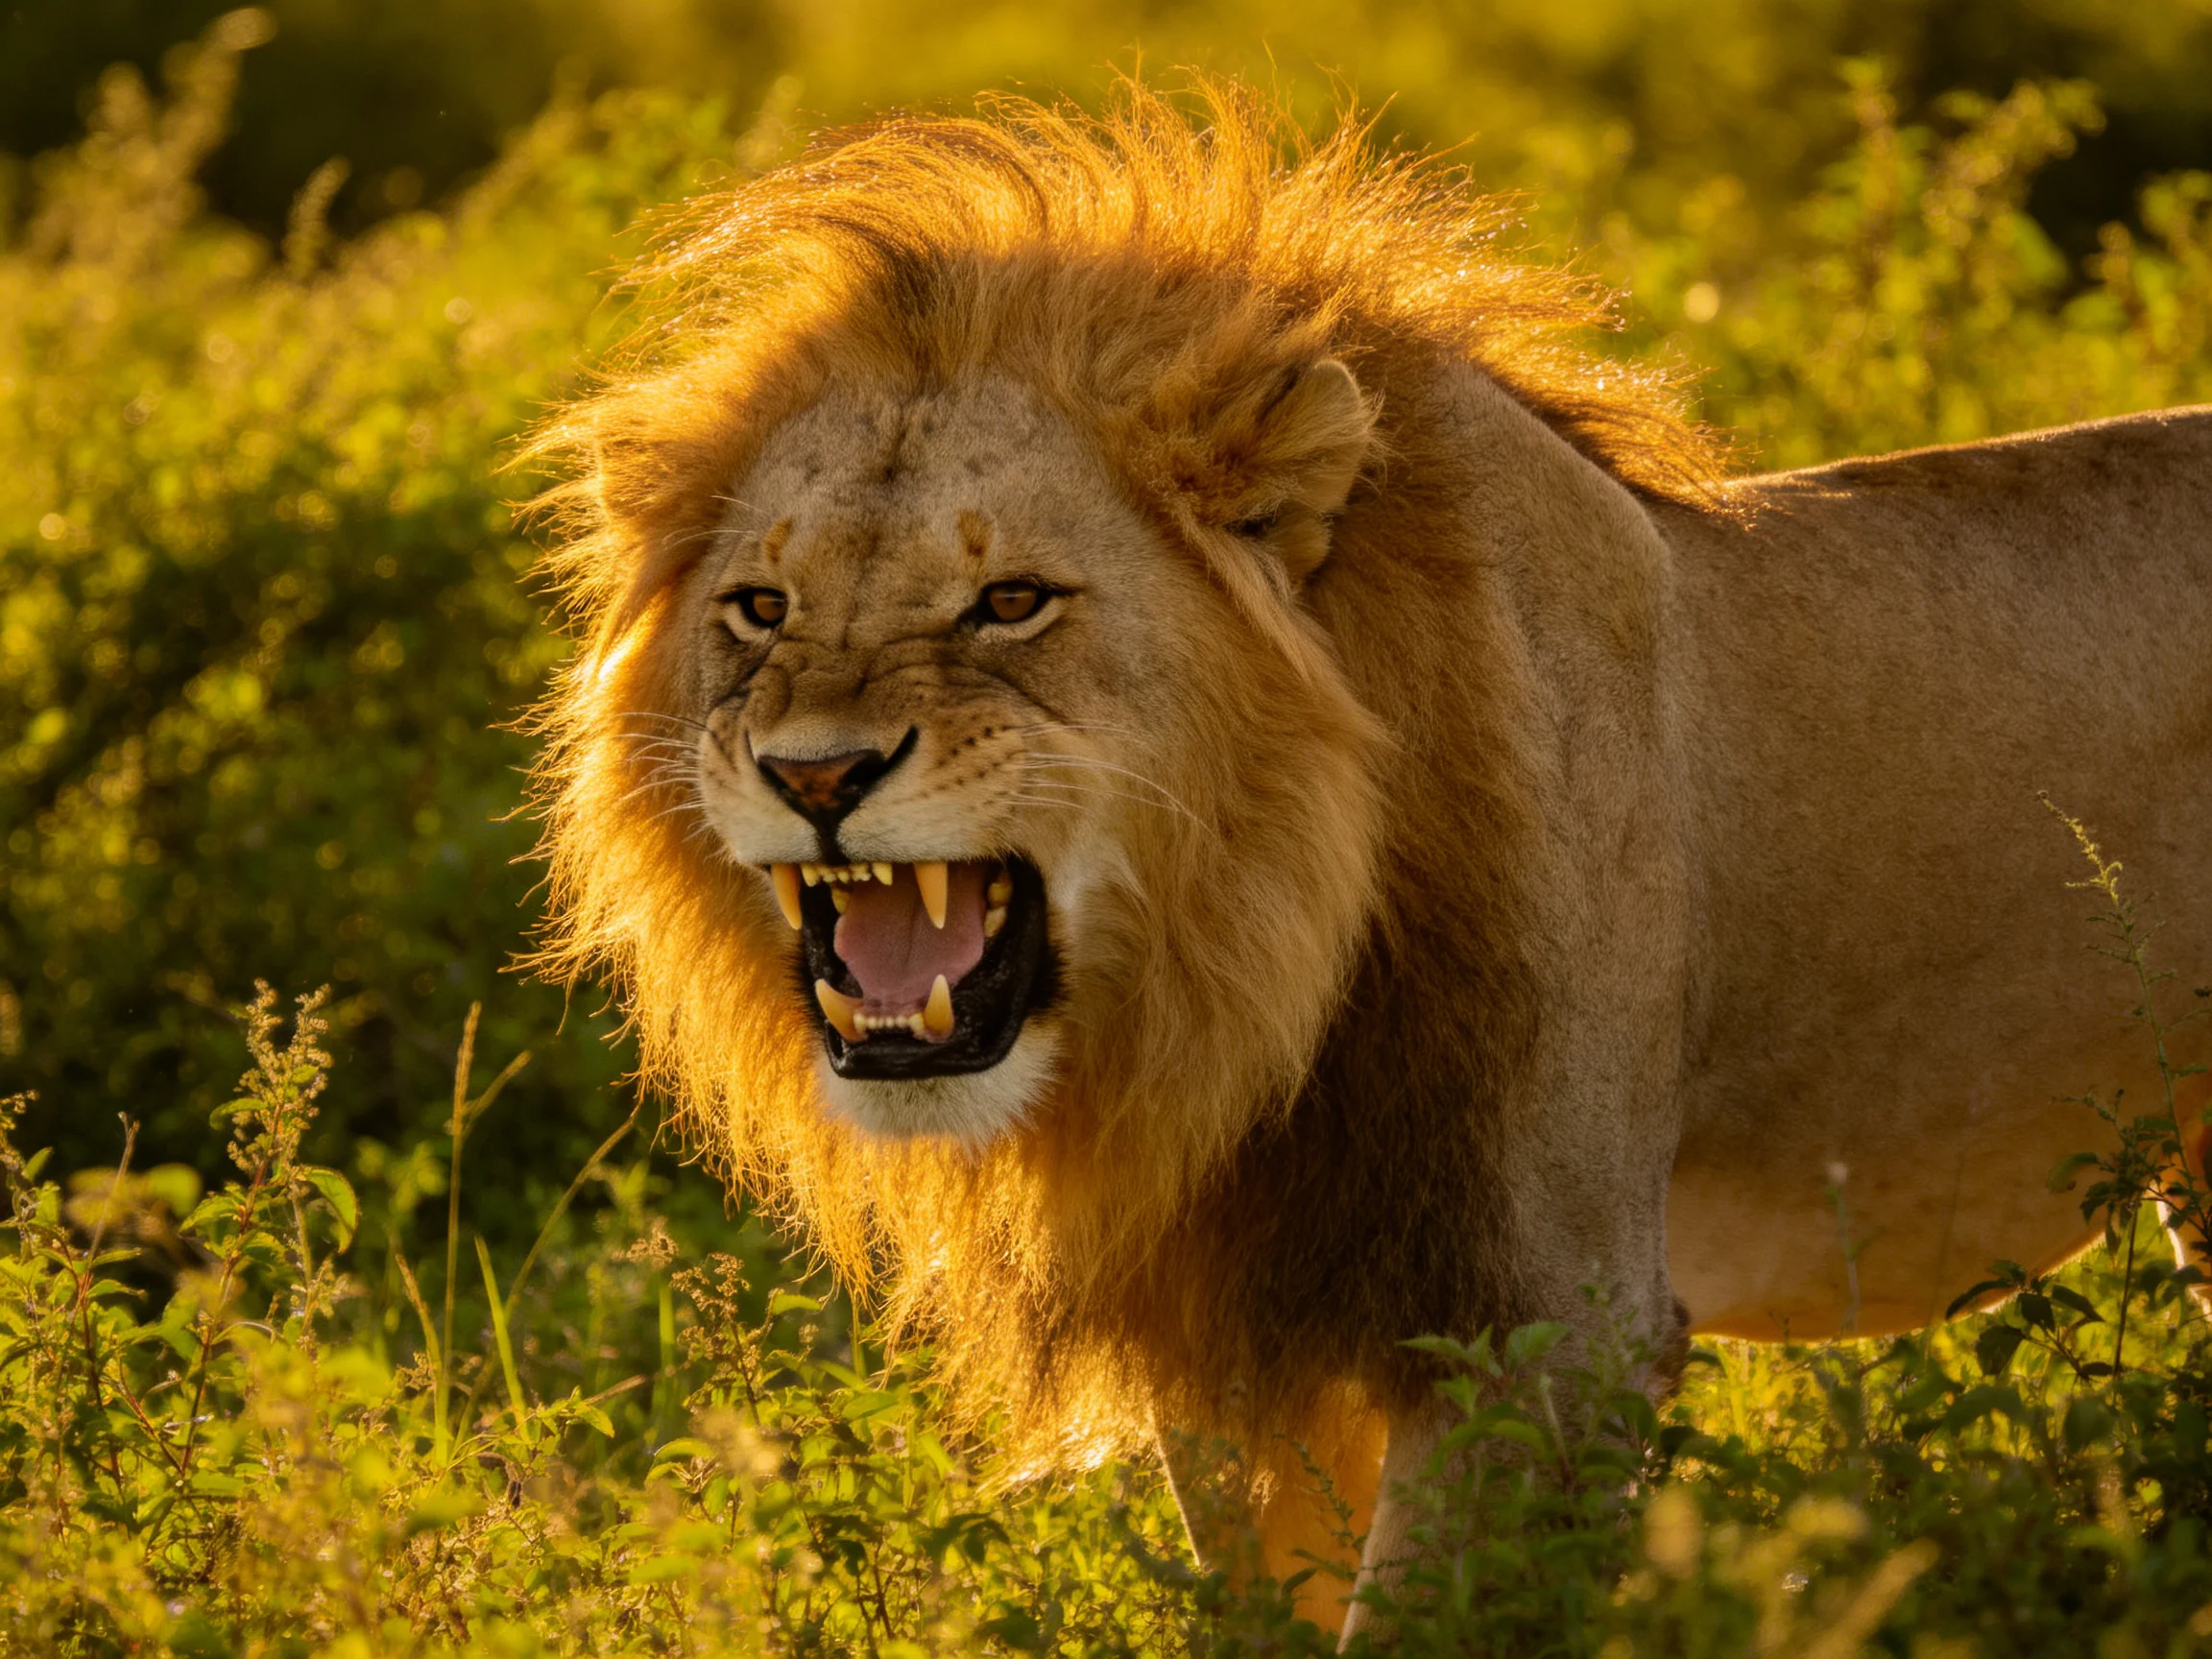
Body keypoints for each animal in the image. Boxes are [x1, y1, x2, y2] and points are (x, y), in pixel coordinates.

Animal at [527, 81, 2212, 1636]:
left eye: (1009, 603)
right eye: (759, 610)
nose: (814, 774)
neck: (1254, 974)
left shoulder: (1553, 1325)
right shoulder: (1235, 1334)